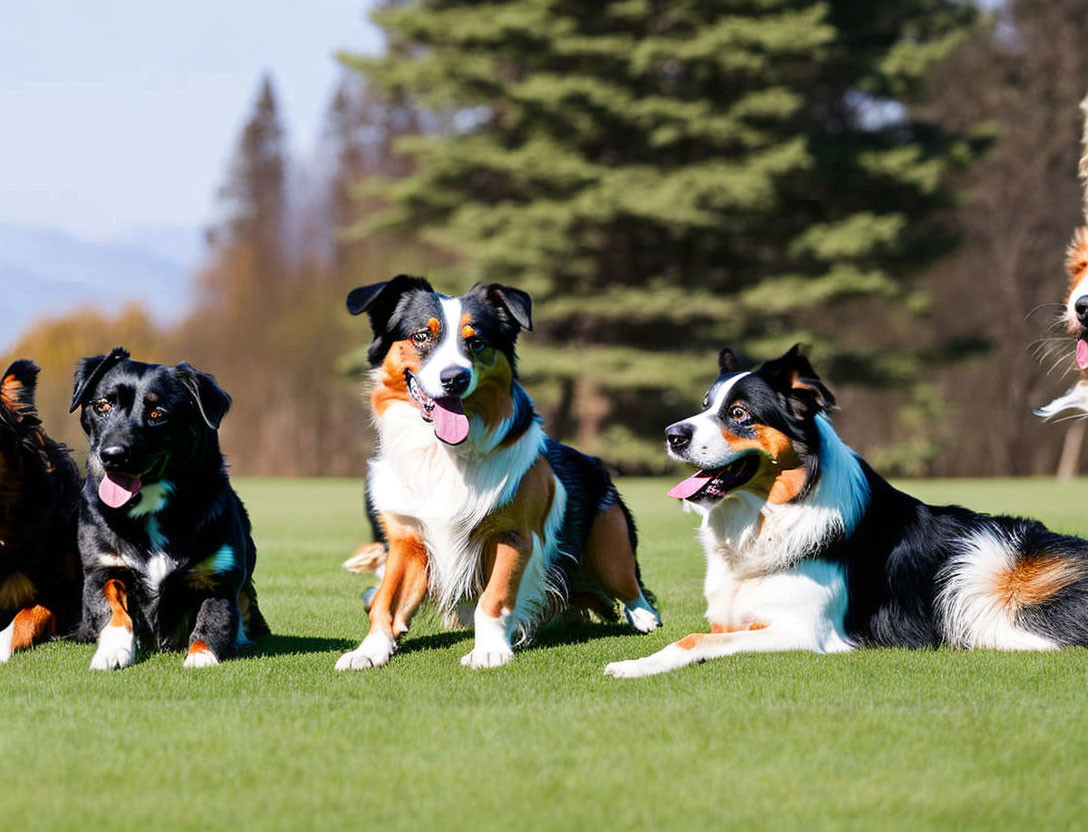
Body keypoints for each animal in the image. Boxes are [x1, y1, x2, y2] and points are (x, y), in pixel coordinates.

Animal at [69, 345, 267, 669]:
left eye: (157, 414)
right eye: (103, 406)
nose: (112, 455)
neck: (151, 509)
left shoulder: (218, 576)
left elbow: (213, 620)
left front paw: (201, 656)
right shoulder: (103, 568)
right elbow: (113, 613)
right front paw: (113, 652)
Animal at [339, 276, 661, 669]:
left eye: (476, 341)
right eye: (421, 336)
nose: (455, 378)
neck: (445, 454)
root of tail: (595, 463)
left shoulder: (512, 535)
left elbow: (494, 597)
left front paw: (489, 650)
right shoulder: (408, 538)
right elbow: (387, 599)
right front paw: (369, 650)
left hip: (610, 546)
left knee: (630, 586)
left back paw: (644, 617)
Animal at [604, 343, 1088, 674]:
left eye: (739, 413)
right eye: (705, 406)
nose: (672, 434)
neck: (768, 517)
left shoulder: (801, 630)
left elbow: (693, 640)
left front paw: (633, 665)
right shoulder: (733, 618)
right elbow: (700, 633)